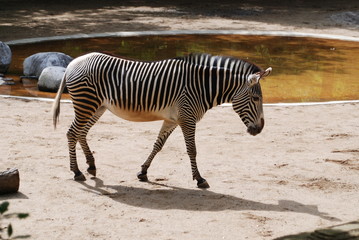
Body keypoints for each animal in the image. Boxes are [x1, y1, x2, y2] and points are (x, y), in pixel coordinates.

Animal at [52, 51, 272, 188]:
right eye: (256, 99)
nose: (260, 129)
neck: (201, 87)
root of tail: (72, 63)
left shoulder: (173, 119)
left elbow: (158, 145)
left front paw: (143, 172)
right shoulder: (187, 118)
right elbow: (192, 150)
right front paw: (199, 179)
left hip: (97, 106)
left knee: (81, 132)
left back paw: (90, 165)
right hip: (86, 103)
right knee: (72, 133)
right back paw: (76, 172)